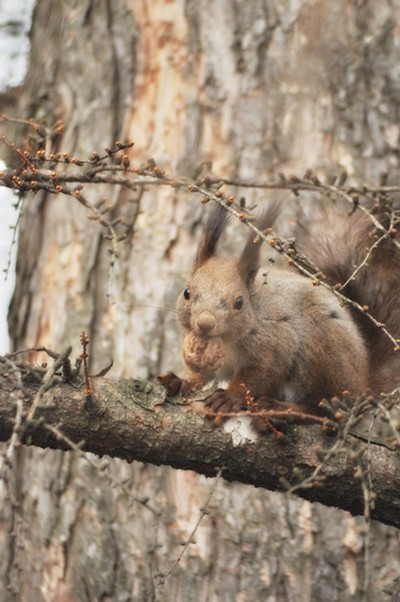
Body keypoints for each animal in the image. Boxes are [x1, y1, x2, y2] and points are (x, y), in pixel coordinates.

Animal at [159, 202, 400, 432]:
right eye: (187, 292)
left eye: (239, 302)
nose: (205, 324)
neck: (226, 342)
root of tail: (363, 384)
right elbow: (201, 375)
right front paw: (181, 381)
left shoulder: (275, 342)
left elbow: (256, 376)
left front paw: (228, 398)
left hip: (325, 353)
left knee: (327, 410)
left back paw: (285, 410)